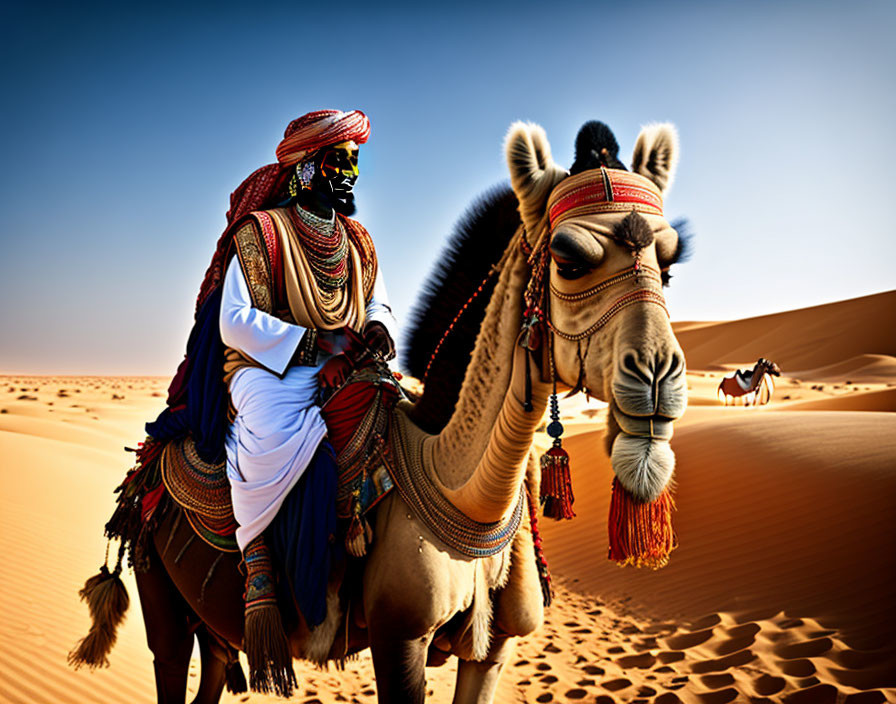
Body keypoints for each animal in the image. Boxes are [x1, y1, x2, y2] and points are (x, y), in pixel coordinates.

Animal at [75, 118, 692, 700]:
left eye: (668, 266)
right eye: (568, 260)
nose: (657, 377)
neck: (456, 481)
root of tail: (148, 460)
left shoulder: (493, 650)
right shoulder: (400, 639)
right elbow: (240, 313)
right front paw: (341, 348)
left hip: (217, 632)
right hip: (165, 607)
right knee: (169, 654)